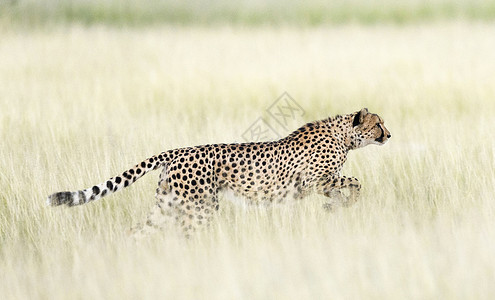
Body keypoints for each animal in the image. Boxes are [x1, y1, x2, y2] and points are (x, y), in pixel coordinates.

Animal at [48, 108, 394, 237]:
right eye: (378, 123)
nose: (389, 135)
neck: (344, 136)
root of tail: (176, 151)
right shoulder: (312, 181)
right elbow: (356, 182)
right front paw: (339, 204)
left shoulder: (318, 184)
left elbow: (346, 187)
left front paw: (335, 206)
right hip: (201, 209)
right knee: (187, 233)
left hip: (167, 206)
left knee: (138, 231)